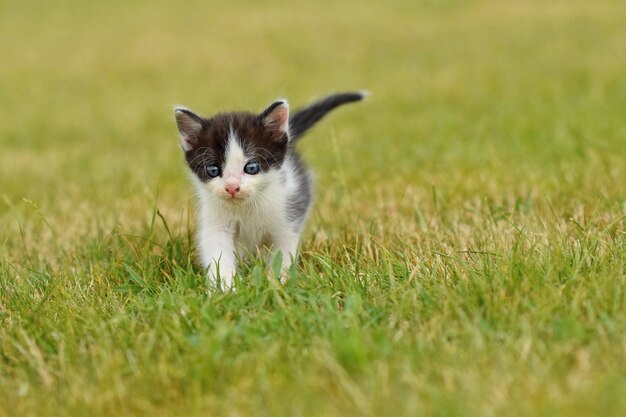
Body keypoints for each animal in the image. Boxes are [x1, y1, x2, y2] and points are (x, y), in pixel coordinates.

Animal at [173, 91, 364, 290]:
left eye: (251, 167)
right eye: (212, 170)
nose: (232, 187)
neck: (247, 207)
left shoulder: (287, 218)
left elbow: (283, 253)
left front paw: (278, 284)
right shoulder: (216, 222)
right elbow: (218, 253)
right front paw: (226, 288)